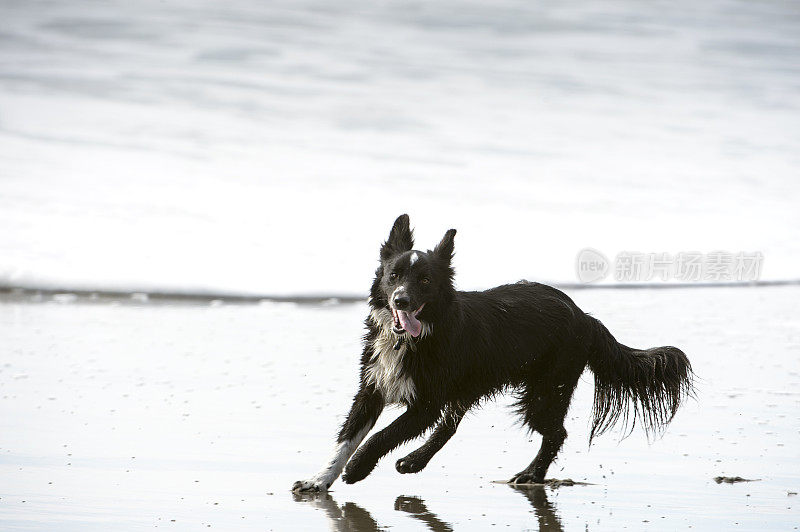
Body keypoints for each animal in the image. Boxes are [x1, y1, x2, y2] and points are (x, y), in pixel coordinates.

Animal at [294, 213, 692, 490]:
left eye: (425, 280)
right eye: (393, 276)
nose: (401, 300)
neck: (413, 338)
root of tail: (584, 316)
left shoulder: (426, 402)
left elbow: (381, 436)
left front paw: (357, 469)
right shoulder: (371, 389)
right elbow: (346, 438)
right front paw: (319, 480)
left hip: (546, 389)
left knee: (555, 433)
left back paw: (531, 475)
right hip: (478, 382)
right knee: (452, 425)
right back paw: (415, 462)